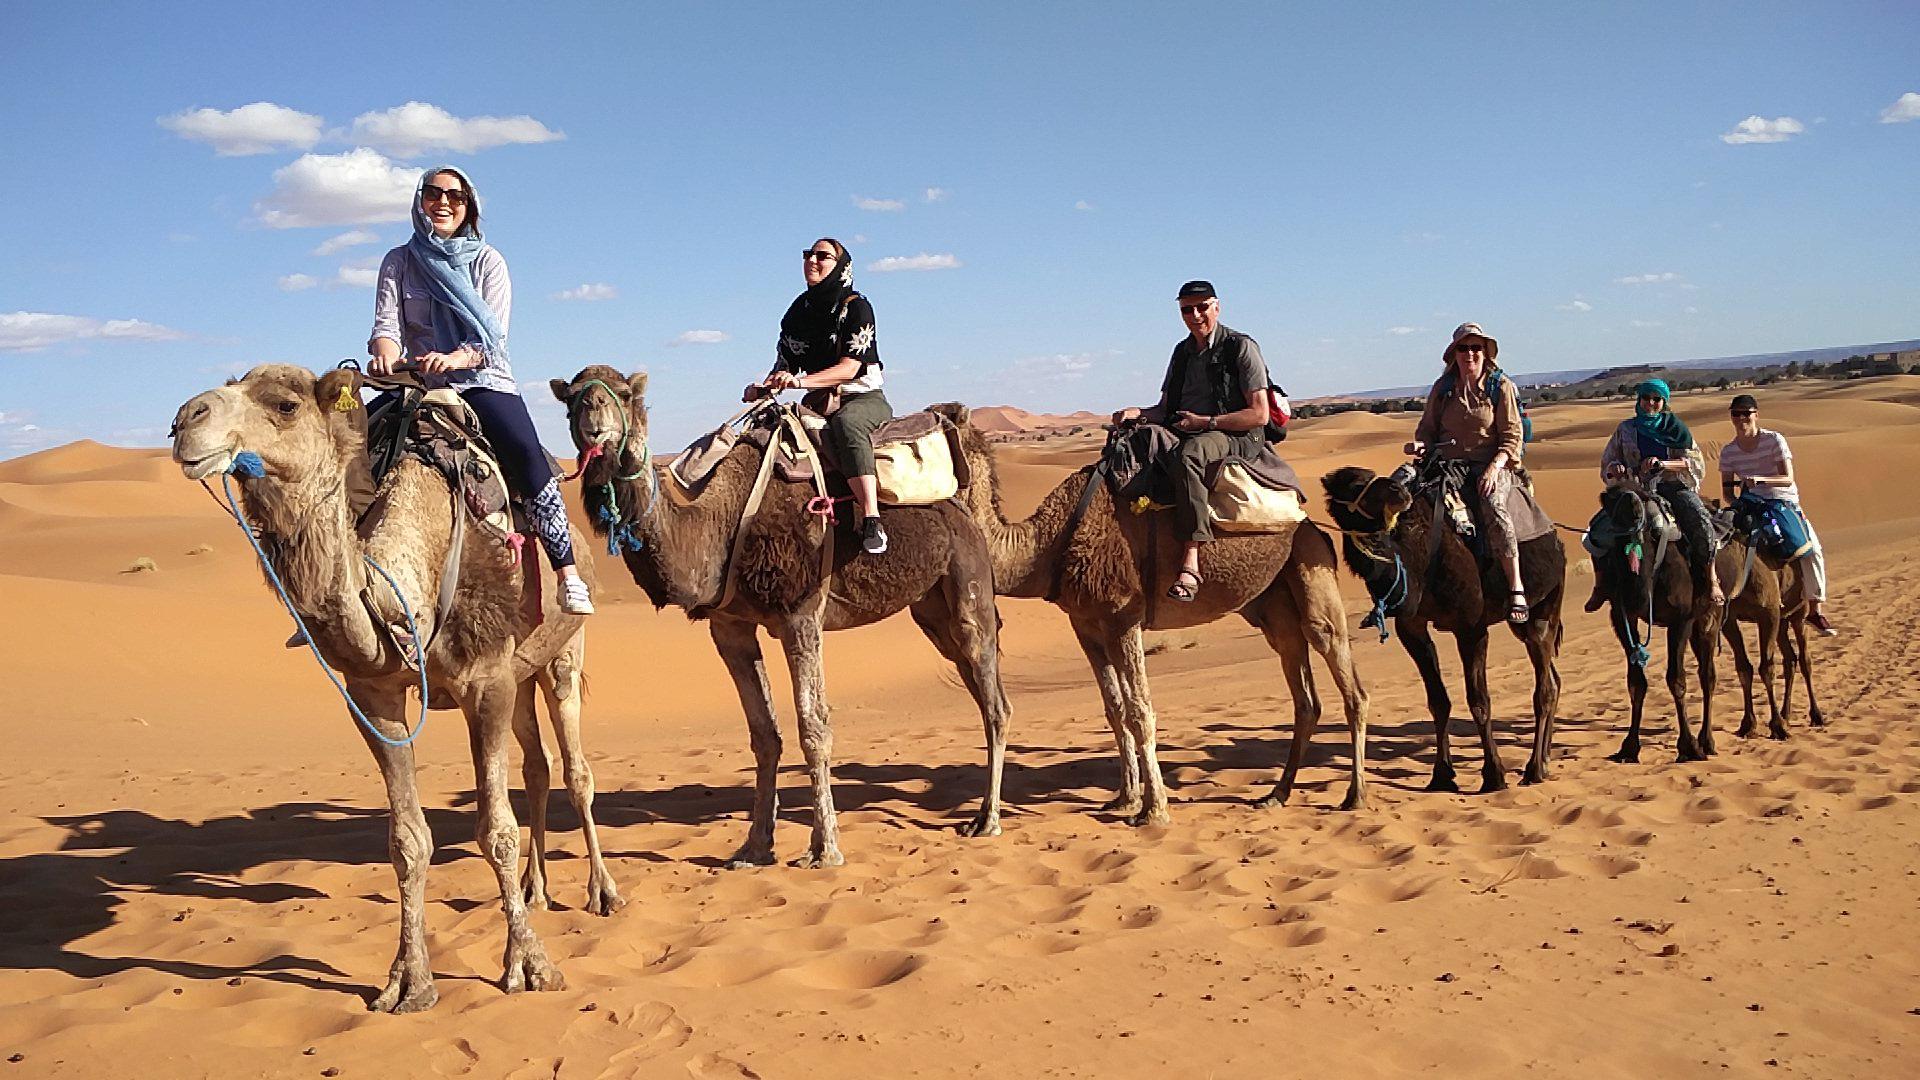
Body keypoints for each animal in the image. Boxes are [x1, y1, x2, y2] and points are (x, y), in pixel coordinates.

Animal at [170, 364, 620, 1014]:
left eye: (284, 405)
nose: (185, 420)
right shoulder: (374, 695)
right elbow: (407, 840)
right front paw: (409, 982)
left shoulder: (485, 682)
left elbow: (496, 831)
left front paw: (529, 966)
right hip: (522, 673)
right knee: (536, 766)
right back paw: (536, 891)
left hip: (563, 650)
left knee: (576, 771)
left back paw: (602, 893)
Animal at [551, 368, 1011, 868]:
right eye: (570, 399)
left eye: (625, 394)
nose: (594, 420)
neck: (719, 527)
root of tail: (962, 506)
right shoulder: (729, 627)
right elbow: (764, 733)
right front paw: (754, 846)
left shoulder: (801, 617)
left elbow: (814, 727)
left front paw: (825, 849)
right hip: (930, 609)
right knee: (978, 684)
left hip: (968, 581)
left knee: (993, 698)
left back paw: (988, 821)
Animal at [926, 405, 1371, 822]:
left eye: (932, 426)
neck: (1046, 546)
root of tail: (1311, 524)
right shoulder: (1086, 625)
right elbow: (1115, 710)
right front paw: (1125, 798)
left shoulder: (1123, 616)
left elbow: (1141, 711)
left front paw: (1154, 809)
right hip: (1273, 606)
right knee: (1305, 696)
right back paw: (1277, 794)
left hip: (1311, 571)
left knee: (1347, 679)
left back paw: (1355, 795)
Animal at [1320, 464, 1567, 792]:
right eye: (1356, 483)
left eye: (1368, 476)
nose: (1399, 491)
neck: (1417, 557)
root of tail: (1556, 539)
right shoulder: (1411, 629)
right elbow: (1438, 701)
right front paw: (1441, 775)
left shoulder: (1471, 627)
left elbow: (1479, 701)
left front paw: (1494, 775)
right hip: (1522, 626)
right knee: (1552, 676)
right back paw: (1546, 760)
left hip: (1547, 603)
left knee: (1545, 687)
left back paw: (1534, 768)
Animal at [1591, 486, 1721, 764]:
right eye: (1612, 534)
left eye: (1654, 532)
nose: (1636, 597)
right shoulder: (1621, 616)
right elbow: (1636, 682)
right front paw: (1629, 747)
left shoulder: (1681, 618)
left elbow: (1676, 679)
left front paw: (1689, 747)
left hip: (1709, 617)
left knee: (1707, 675)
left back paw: (1707, 741)